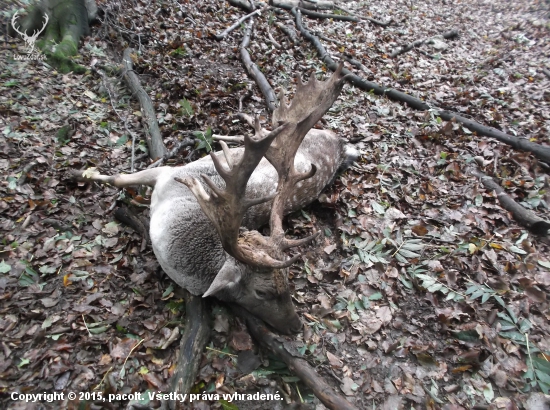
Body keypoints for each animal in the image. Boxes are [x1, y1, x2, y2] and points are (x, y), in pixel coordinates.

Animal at [75, 63, 360, 334]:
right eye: (262, 292)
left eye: (289, 279)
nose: (297, 327)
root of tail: (341, 145)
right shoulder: (168, 173)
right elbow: (119, 178)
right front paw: (83, 172)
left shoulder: (168, 176)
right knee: (271, 128)